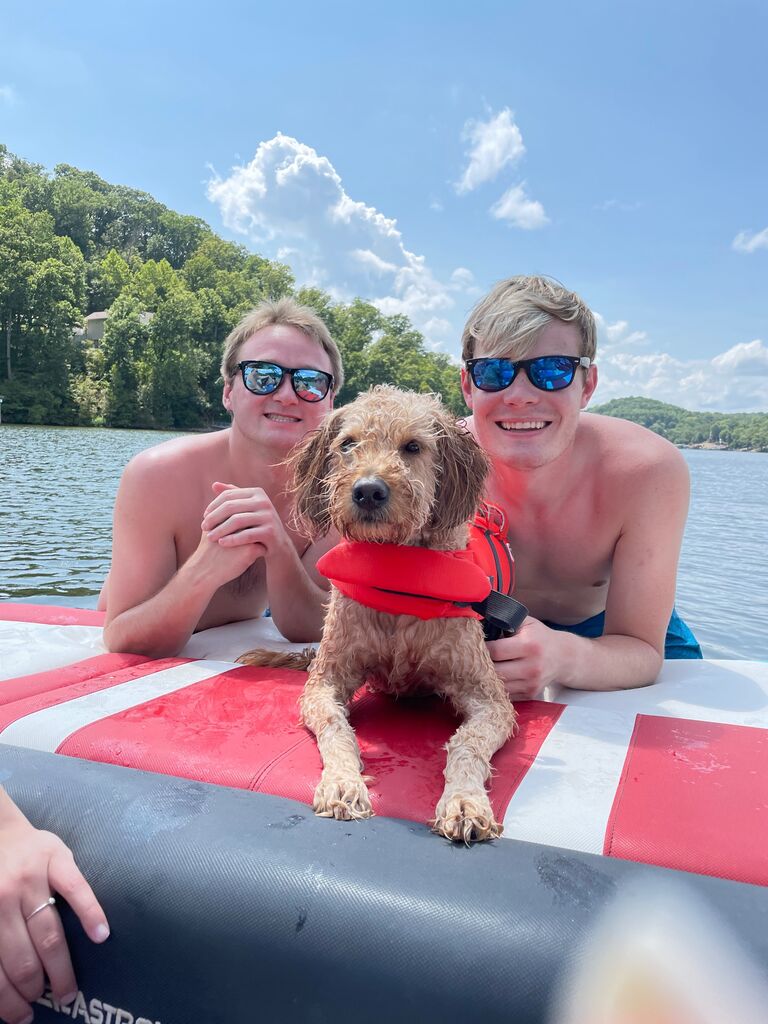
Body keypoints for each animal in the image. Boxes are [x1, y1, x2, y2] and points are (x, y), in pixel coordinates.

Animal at [243, 385, 518, 839]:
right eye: (347, 443)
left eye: (413, 446)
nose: (368, 490)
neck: (397, 573)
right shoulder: (326, 679)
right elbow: (335, 727)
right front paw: (342, 781)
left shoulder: (489, 696)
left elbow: (467, 743)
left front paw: (464, 800)